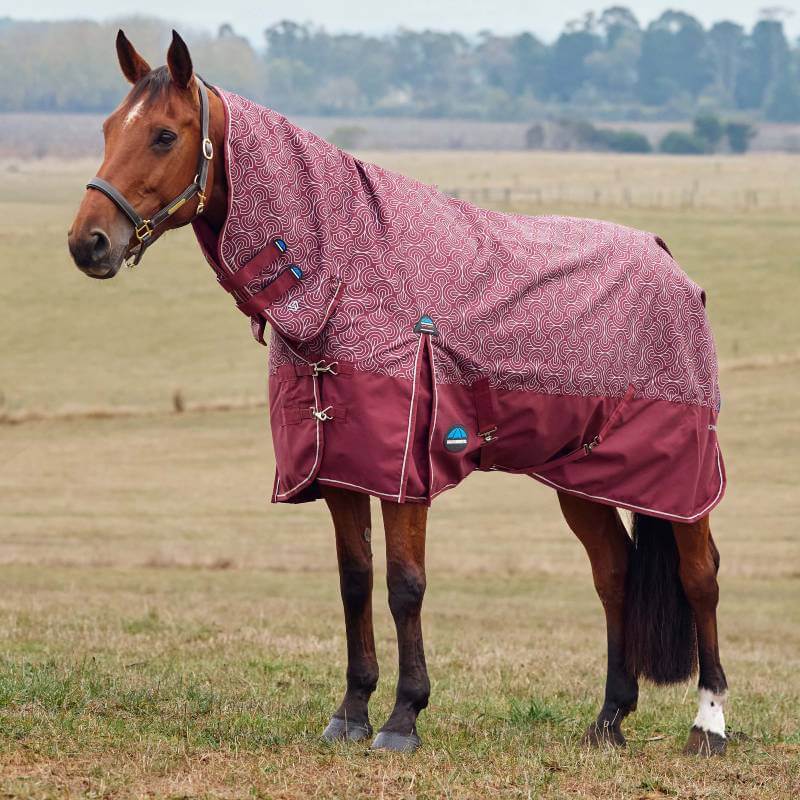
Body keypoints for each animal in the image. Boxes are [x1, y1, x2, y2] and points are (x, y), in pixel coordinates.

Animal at [67, 30, 728, 756]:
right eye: (108, 127)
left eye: (163, 135)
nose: (87, 242)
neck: (344, 275)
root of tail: (669, 262)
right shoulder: (339, 470)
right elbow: (355, 582)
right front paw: (352, 710)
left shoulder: (404, 475)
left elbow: (404, 586)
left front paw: (404, 716)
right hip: (581, 477)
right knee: (614, 574)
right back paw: (608, 719)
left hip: (681, 481)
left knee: (700, 576)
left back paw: (709, 725)